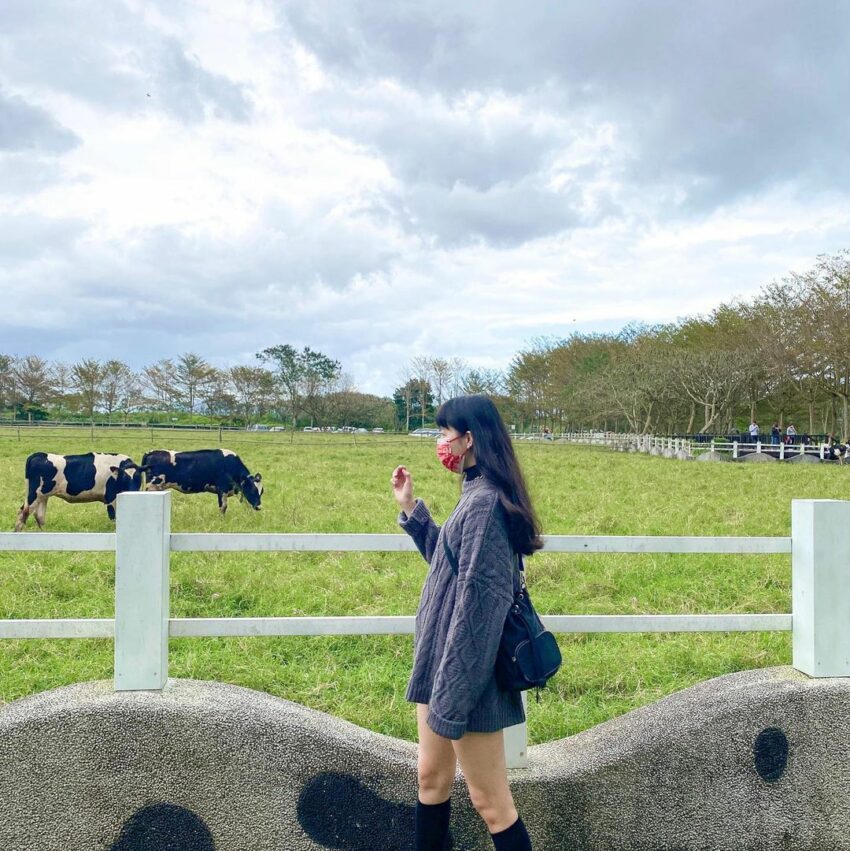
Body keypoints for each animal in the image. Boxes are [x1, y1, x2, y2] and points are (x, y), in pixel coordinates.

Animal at [15, 452, 144, 532]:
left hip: (42, 496)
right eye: (124, 478)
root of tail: (38, 454)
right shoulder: (111, 498)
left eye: (138, 479)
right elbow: (114, 517)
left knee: (39, 515)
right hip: (35, 495)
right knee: (24, 513)